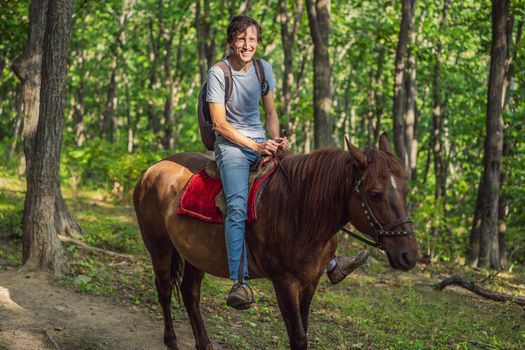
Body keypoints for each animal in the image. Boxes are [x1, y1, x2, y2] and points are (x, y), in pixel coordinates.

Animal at [133, 133, 420, 348]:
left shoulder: (311, 281)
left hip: (195, 254)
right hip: (159, 247)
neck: (298, 209)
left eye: (405, 190)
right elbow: (298, 338)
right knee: (164, 289)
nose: (409, 255)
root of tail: (152, 169)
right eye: (374, 194)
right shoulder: (285, 282)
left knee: (190, 293)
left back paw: (204, 344)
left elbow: (304, 330)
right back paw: (171, 340)